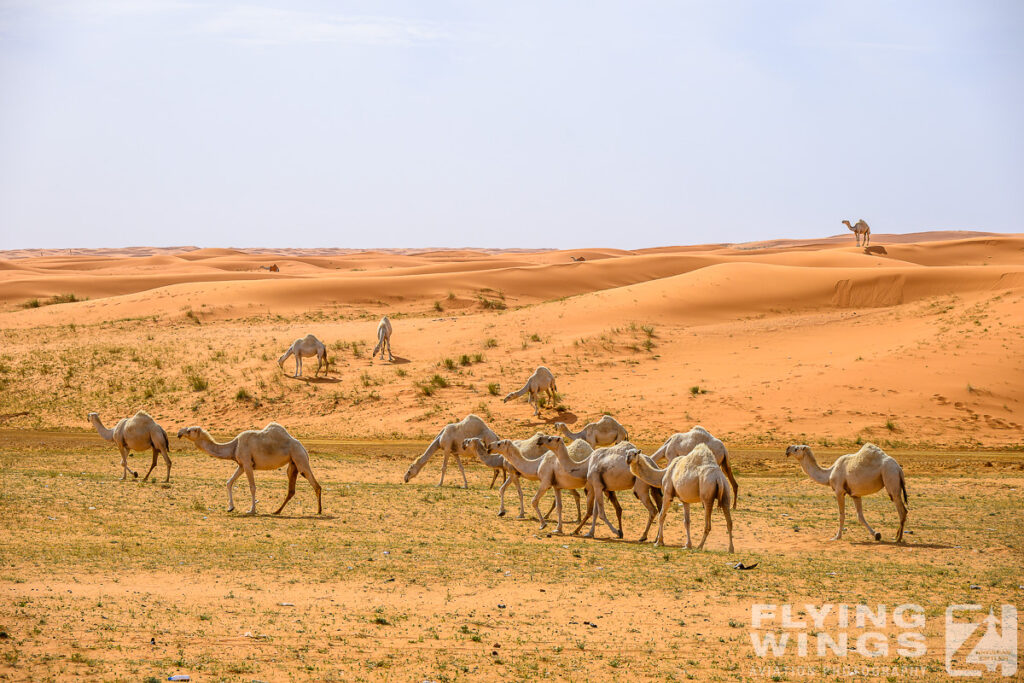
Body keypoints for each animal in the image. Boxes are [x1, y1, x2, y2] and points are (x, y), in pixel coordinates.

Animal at [175, 421, 319, 511]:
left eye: (190, 430)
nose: (179, 433)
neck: (234, 446)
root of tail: (303, 447)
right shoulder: (241, 465)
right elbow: (229, 482)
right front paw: (230, 507)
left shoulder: (248, 464)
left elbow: (252, 487)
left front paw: (252, 510)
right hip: (294, 461)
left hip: (299, 457)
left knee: (313, 482)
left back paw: (319, 511)